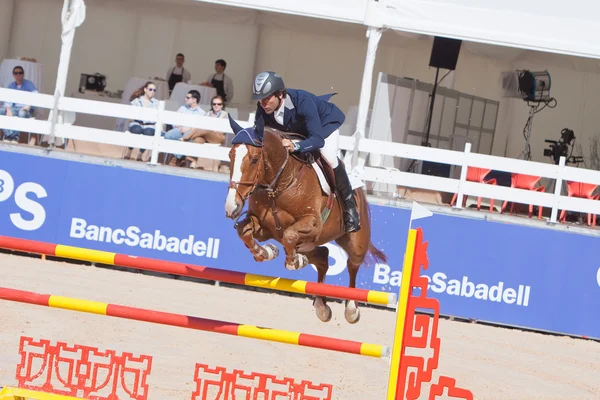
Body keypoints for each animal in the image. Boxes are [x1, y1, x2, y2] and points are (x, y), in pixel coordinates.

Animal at [223, 114, 386, 324]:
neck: (280, 184)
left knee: (352, 264)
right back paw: (321, 307)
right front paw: (266, 252)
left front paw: (294, 262)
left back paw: (351, 310)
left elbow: (290, 236)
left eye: (254, 159)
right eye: (230, 156)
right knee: (323, 256)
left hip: (355, 240)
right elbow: (244, 231)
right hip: (311, 243)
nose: (231, 207)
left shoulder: (313, 225)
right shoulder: (265, 228)